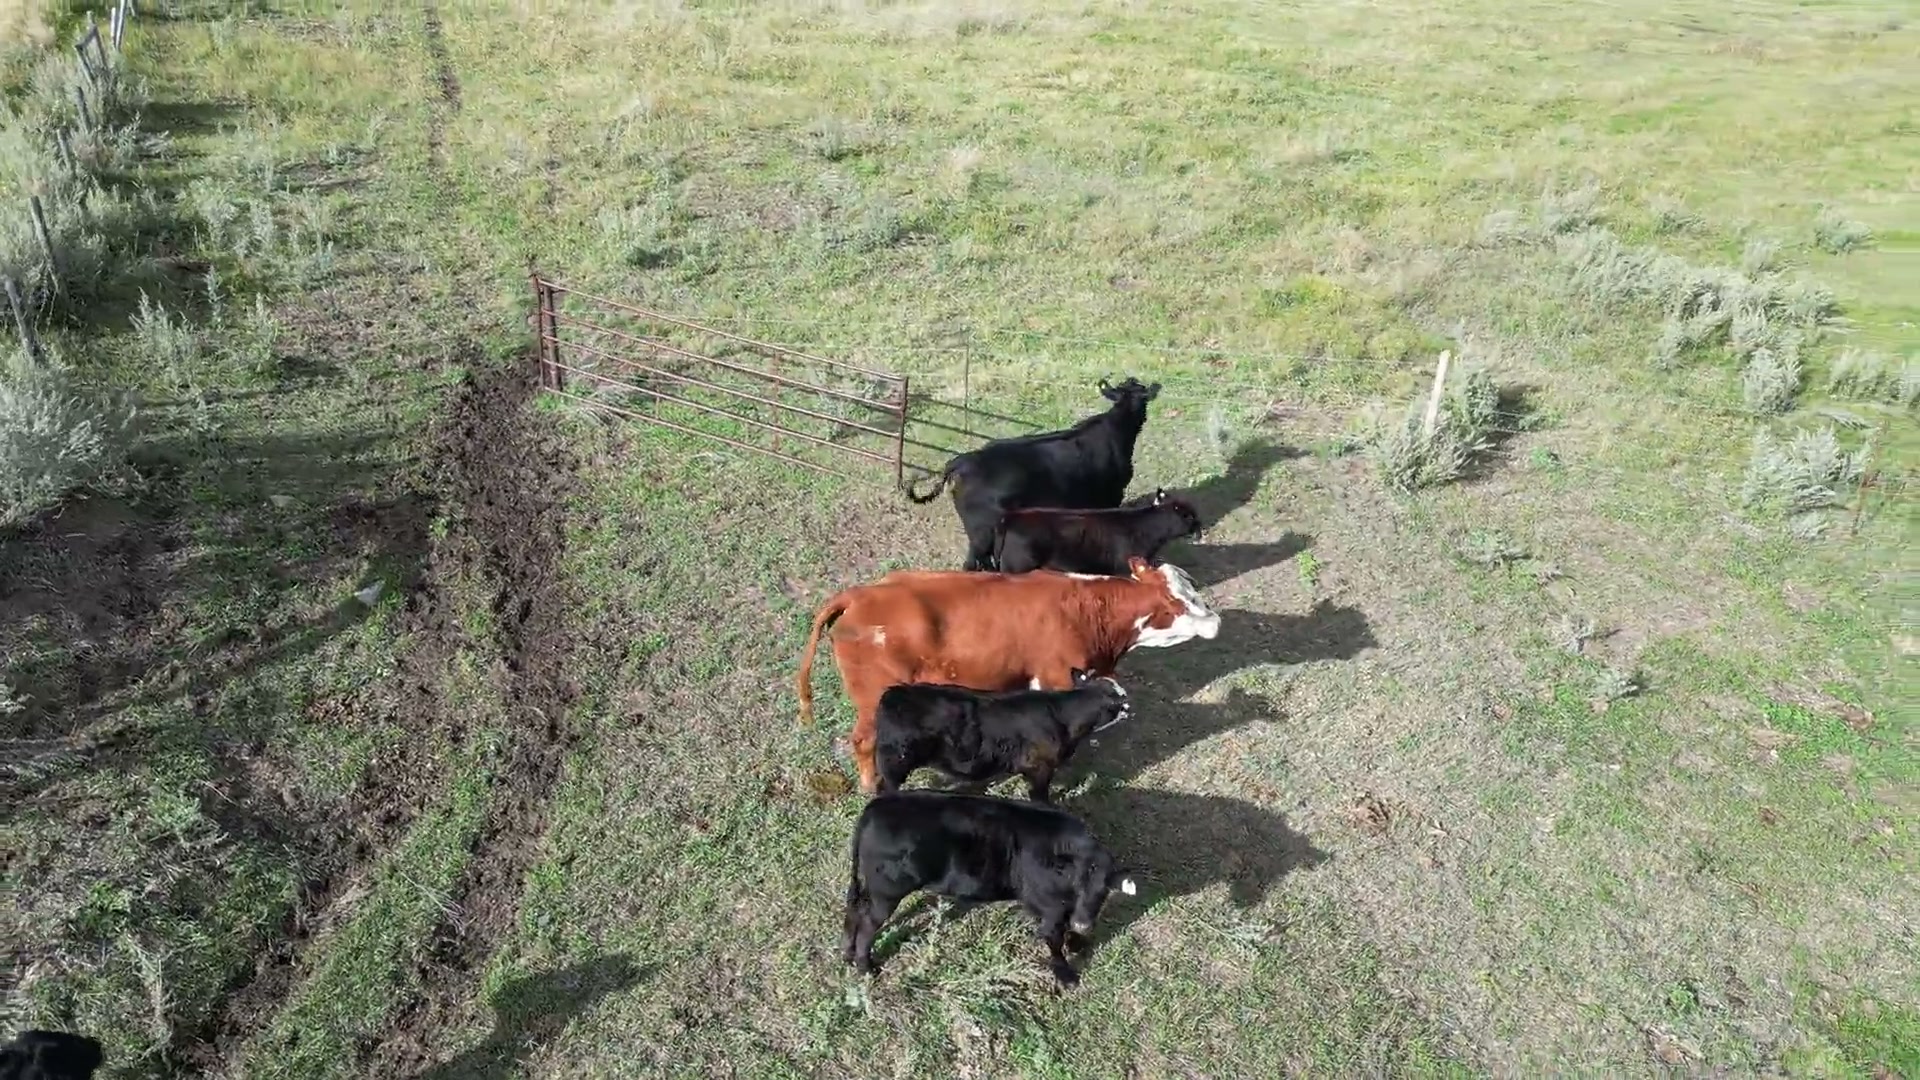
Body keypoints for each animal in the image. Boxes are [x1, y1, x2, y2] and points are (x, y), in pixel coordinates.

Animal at [842, 790, 1138, 986]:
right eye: (1076, 883)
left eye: (1104, 890)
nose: (1083, 924)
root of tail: (877, 805)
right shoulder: (1051, 908)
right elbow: (1053, 940)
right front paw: (1065, 975)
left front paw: (1078, 942)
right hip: (887, 892)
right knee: (867, 923)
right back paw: (866, 967)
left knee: (854, 910)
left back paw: (847, 954)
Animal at [873, 669, 1132, 802]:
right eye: (1120, 701)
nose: (1130, 709)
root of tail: (894, 693)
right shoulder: (1039, 767)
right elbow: (1039, 797)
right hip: (896, 763)